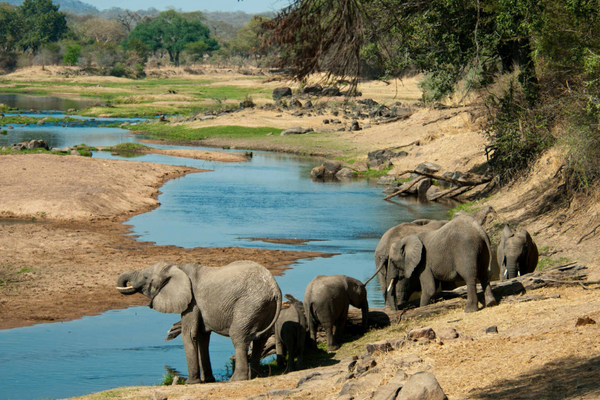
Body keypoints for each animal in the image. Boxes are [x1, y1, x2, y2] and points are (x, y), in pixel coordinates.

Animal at [116, 260, 282, 382]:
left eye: (146, 278)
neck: (178, 268)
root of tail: (275, 288)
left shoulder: (192, 302)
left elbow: (189, 334)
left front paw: (191, 382)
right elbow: (202, 336)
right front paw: (208, 380)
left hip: (249, 304)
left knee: (239, 337)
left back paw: (237, 380)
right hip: (263, 307)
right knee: (260, 341)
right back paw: (254, 377)